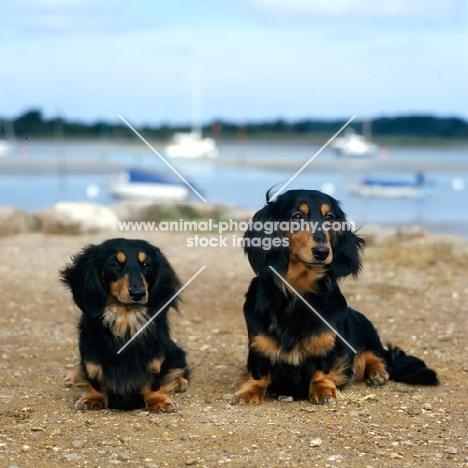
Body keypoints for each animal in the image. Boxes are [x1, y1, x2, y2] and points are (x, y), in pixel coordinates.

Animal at [61, 239, 189, 412]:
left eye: (146, 264)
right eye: (115, 264)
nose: (138, 294)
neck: (126, 319)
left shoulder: (155, 357)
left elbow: (154, 379)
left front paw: (158, 400)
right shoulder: (91, 353)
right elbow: (93, 376)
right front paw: (92, 398)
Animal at [231, 190, 438, 406]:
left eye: (329, 217)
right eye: (297, 216)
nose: (322, 252)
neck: (298, 293)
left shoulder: (328, 346)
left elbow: (323, 368)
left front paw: (322, 389)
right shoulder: (258, 344)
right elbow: (259, 372)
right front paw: (249, 391)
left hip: (366, 329)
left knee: (375, 355)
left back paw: (378, 372)